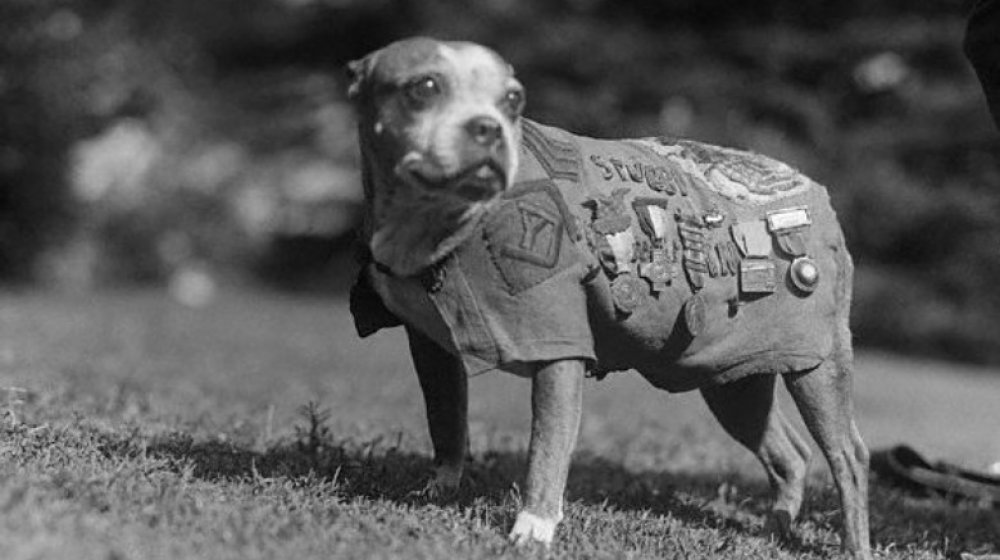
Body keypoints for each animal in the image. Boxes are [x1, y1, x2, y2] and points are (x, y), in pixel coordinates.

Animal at [348, 37, 872, 556]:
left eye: (513, 100)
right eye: (423, 87)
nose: (488, 127)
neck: (438, 223)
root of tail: (815, 192)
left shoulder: (558, 350)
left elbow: (547, 446)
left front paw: (533, 528)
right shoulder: (431, 349)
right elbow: (446, 422)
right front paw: (438, 490)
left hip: (818, 367)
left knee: (849, 456)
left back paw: (853, 543)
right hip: (733, 379)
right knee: (790, 454)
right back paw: (775, 528)